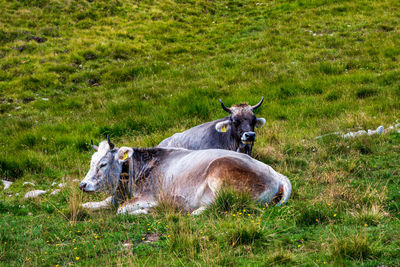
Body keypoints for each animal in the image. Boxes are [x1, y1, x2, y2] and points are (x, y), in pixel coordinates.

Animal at [79, 138, 290, 216]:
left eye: (103, 164)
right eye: (90, 162)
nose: (83, 185)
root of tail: (275, 173)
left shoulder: (149, 196)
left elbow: (121, 210)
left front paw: (147, 211)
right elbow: (98, 203)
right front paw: (87, 204)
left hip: (219, 173)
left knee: (224, 205)